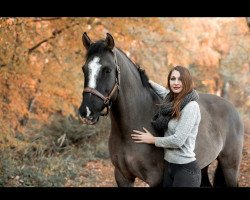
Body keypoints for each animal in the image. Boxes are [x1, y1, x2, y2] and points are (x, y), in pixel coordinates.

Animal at [78, 32, 244, 187]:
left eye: (107, 70)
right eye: (84, 69)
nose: (86, 112)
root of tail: (231, 108)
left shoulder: (156, 180)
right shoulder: (122, 177)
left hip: (230, 166)